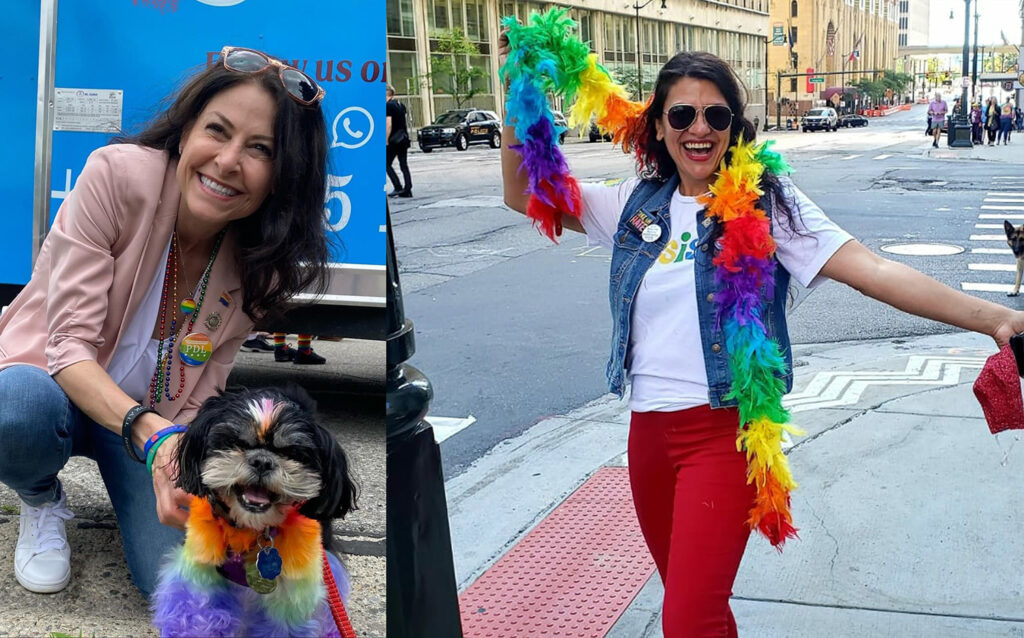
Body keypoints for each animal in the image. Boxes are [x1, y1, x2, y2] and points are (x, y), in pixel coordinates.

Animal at [149, 385, 358, 638]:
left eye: (293, 452)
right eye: (235, 441)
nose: (262, 461)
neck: (251, 529)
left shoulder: (291, 594)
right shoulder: (199, 573)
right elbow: (196, 617)